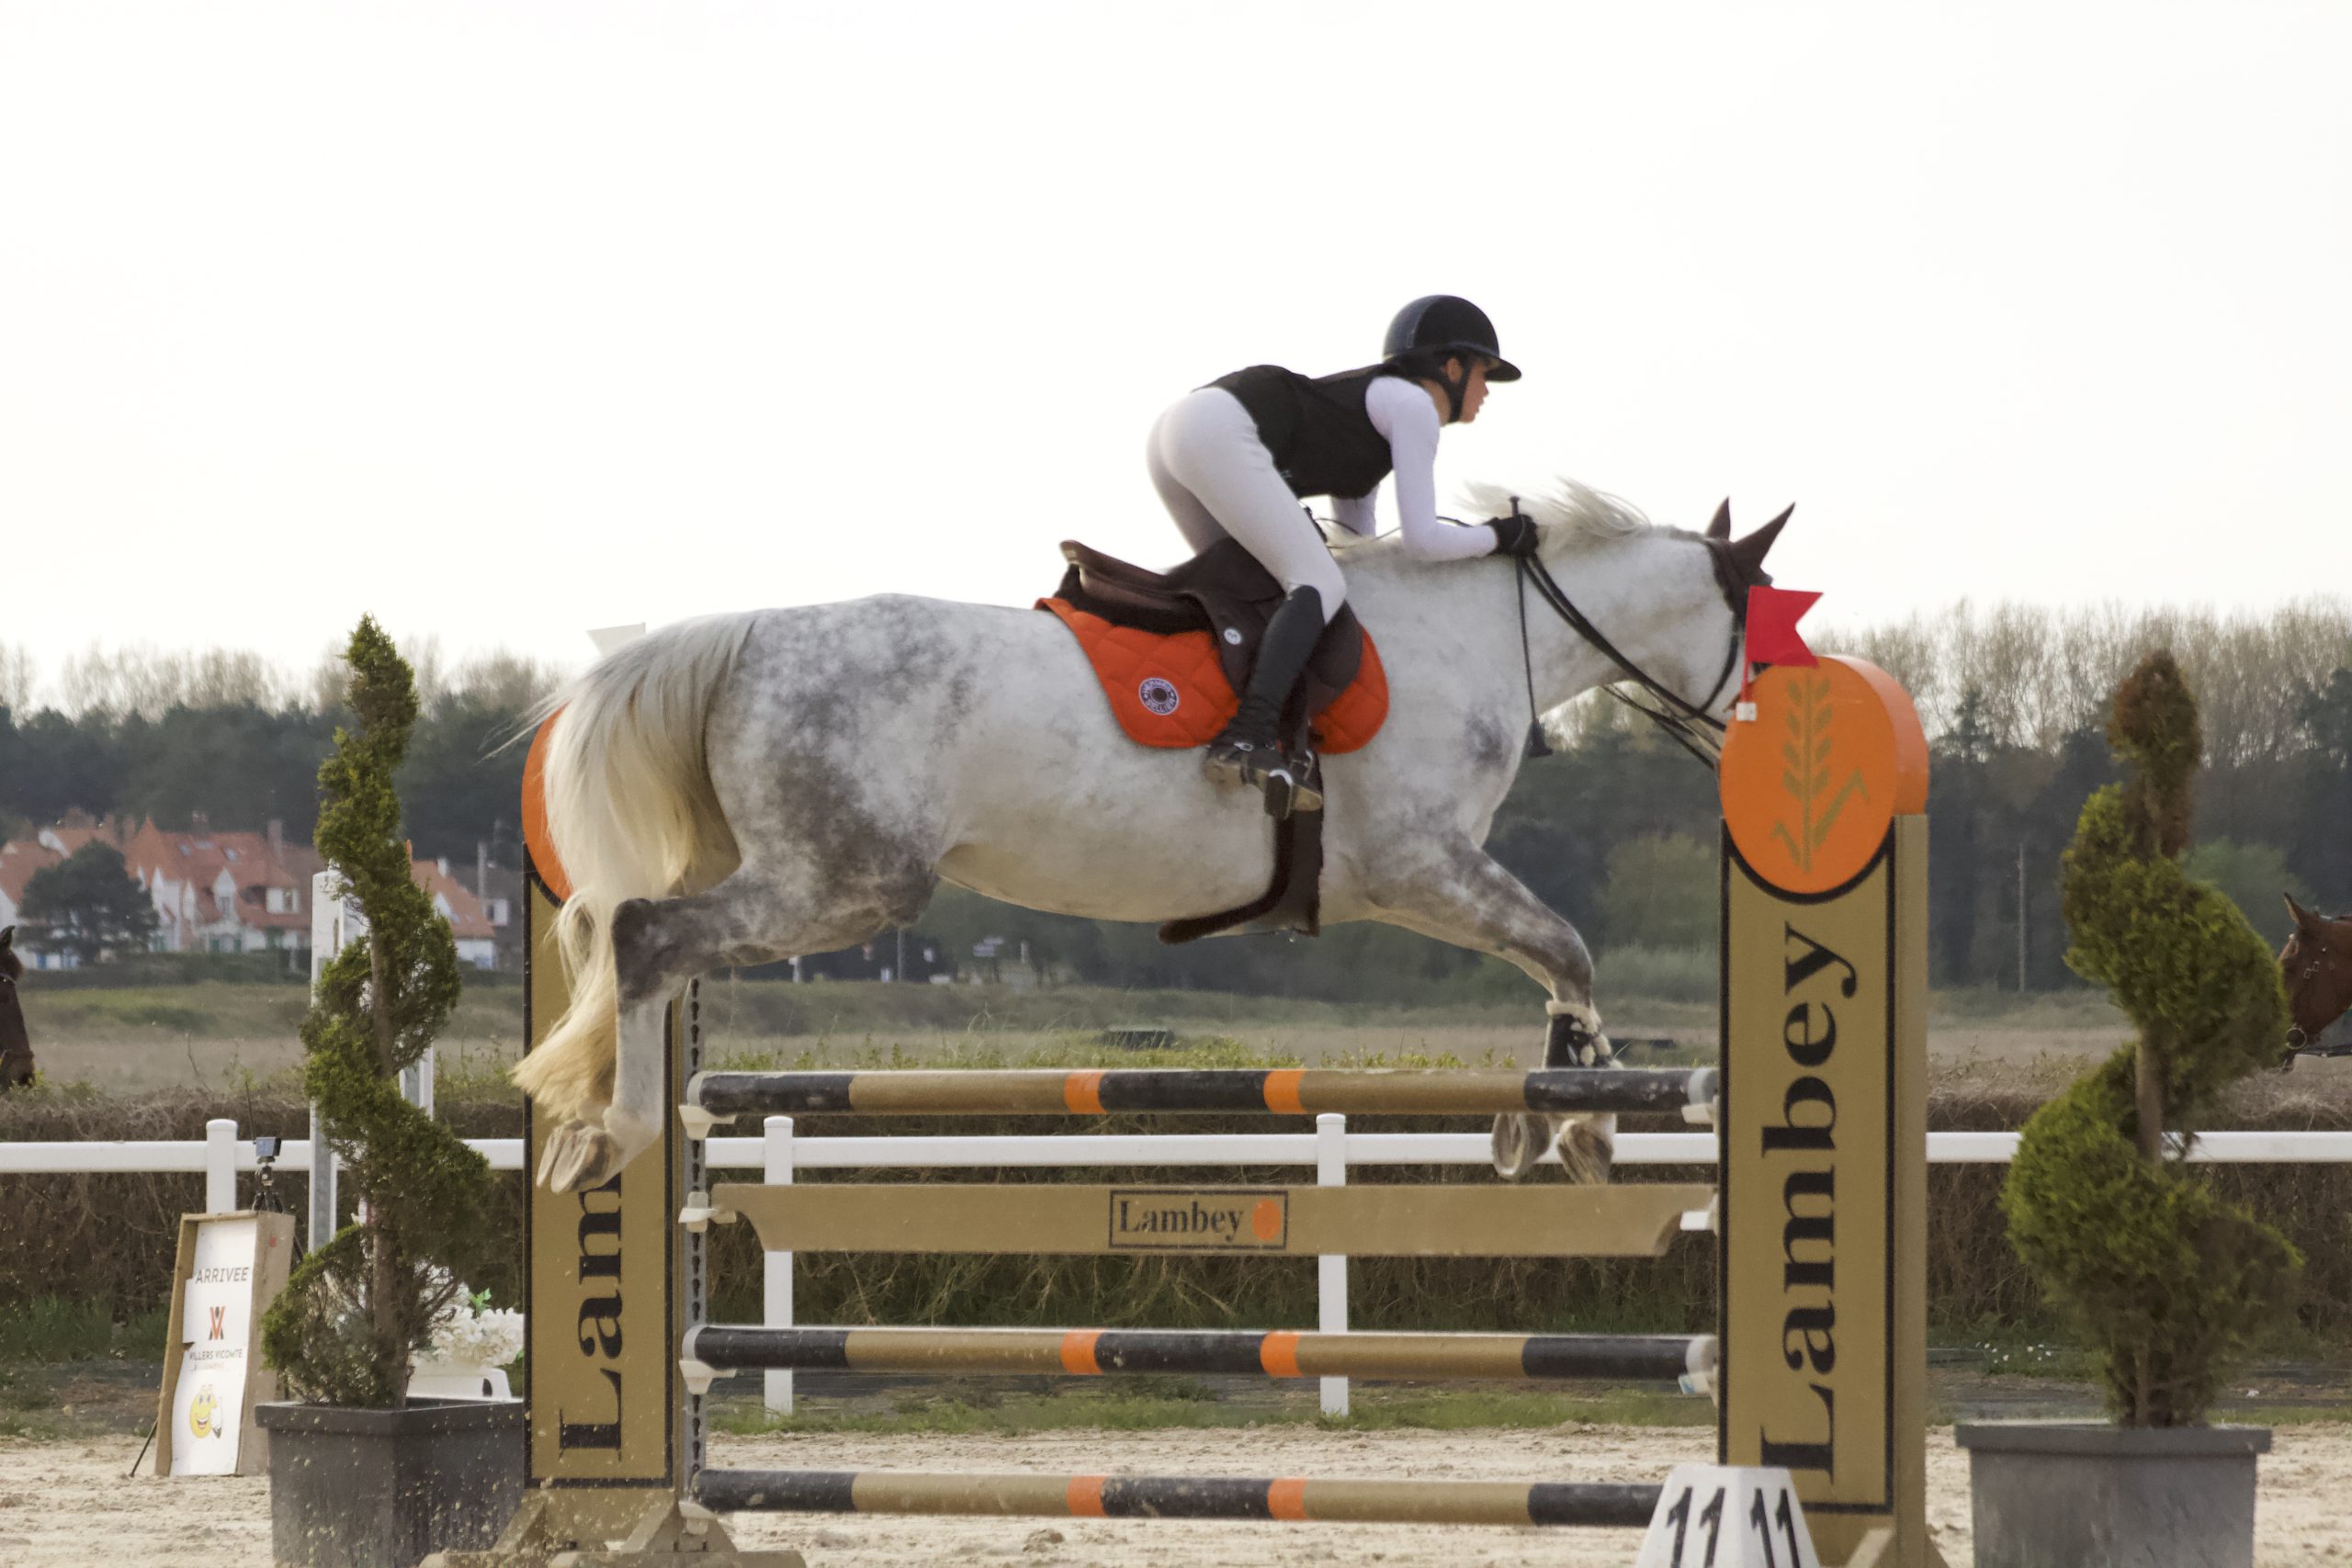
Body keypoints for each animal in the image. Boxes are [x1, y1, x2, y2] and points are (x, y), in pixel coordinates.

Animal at [514, 482, 1787, 1193]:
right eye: (1763, 633)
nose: (1755, 745)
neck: (1472, 630)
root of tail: (740, 637)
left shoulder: (1431, 878)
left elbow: (1557, 961)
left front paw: (1550, 1121)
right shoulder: (1419, 868)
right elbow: (1567, 948)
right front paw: (1581, 1132)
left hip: (791, 871)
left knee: (638, 940)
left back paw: (596, 1123)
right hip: (846, 883)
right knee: (642, 933)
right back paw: (613, 1133)